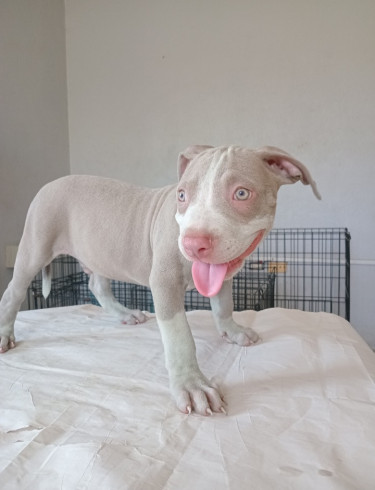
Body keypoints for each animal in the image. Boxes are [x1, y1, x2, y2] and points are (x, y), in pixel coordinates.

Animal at [0, 145, 324, 414]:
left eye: (242, 193)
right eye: (182, 196)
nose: (193, 243)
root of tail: (50, 183)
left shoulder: (220, 273)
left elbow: (223, 304)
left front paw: (232, 331)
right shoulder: (164, 282)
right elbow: (180, 337)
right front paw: (192, 385)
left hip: (100, 253)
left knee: (97, 286)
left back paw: (125, 314)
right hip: (35, 246)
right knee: (13, 292)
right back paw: (5, 335)